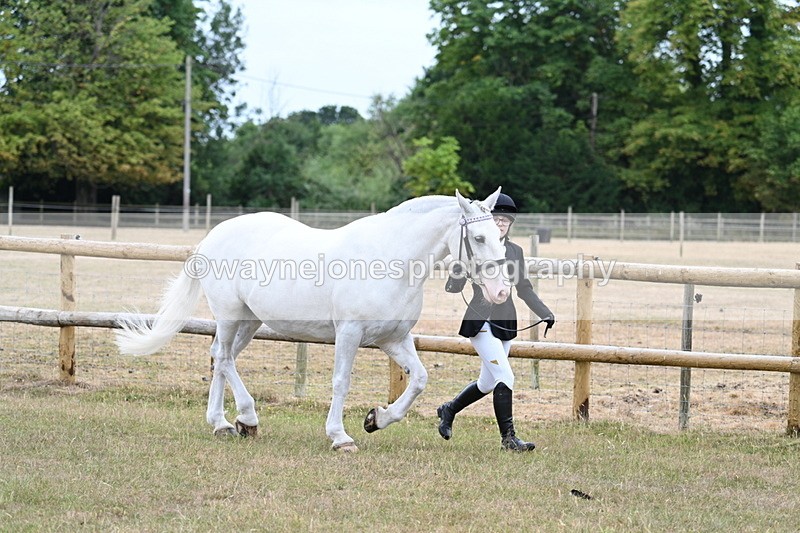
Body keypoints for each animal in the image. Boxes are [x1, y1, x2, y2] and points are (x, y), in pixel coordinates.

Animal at [116, 188, 510, 451]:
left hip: (250, 321)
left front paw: (376, 419)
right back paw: (247, 418)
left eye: (500, 236)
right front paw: (340, 437)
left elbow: (419, 380)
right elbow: (341, 382)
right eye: (478, 237)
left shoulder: (393, 339)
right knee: (224, 358)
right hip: (229, 314)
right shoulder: (349, 333)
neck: (389, 260)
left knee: (220, 359)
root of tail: (213, 236)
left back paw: (223, 424)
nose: (501, 292)